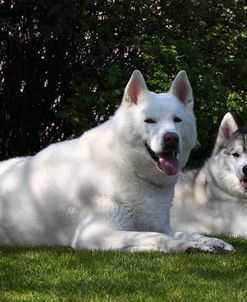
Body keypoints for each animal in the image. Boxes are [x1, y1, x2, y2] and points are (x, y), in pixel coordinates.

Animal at [0, 71, 233, 252]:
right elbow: (159, 237)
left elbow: (186, 232)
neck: (126, 165)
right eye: (149, 121)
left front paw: (211, 241)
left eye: (177, 120)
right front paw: (188, 246)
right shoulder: (95, 234)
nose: (171, 138)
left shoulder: (160, 225)